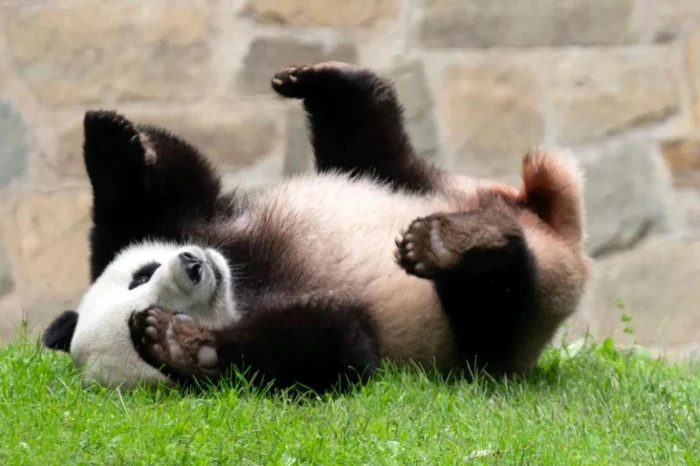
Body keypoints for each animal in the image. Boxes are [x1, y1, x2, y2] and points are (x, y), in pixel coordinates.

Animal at [43, 61, 590, 392]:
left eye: (141, 275)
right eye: (150, 298)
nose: (194, 265)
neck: (243, 282)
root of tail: (557, 232)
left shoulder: (199, 223)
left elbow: (165, 192)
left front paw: (110, 137)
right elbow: (338, 349)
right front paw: (180, 345)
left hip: (419, 183)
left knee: (371, 143)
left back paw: (325, 82)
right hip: (499, 332)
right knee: (497, 302)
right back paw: (454, 247)